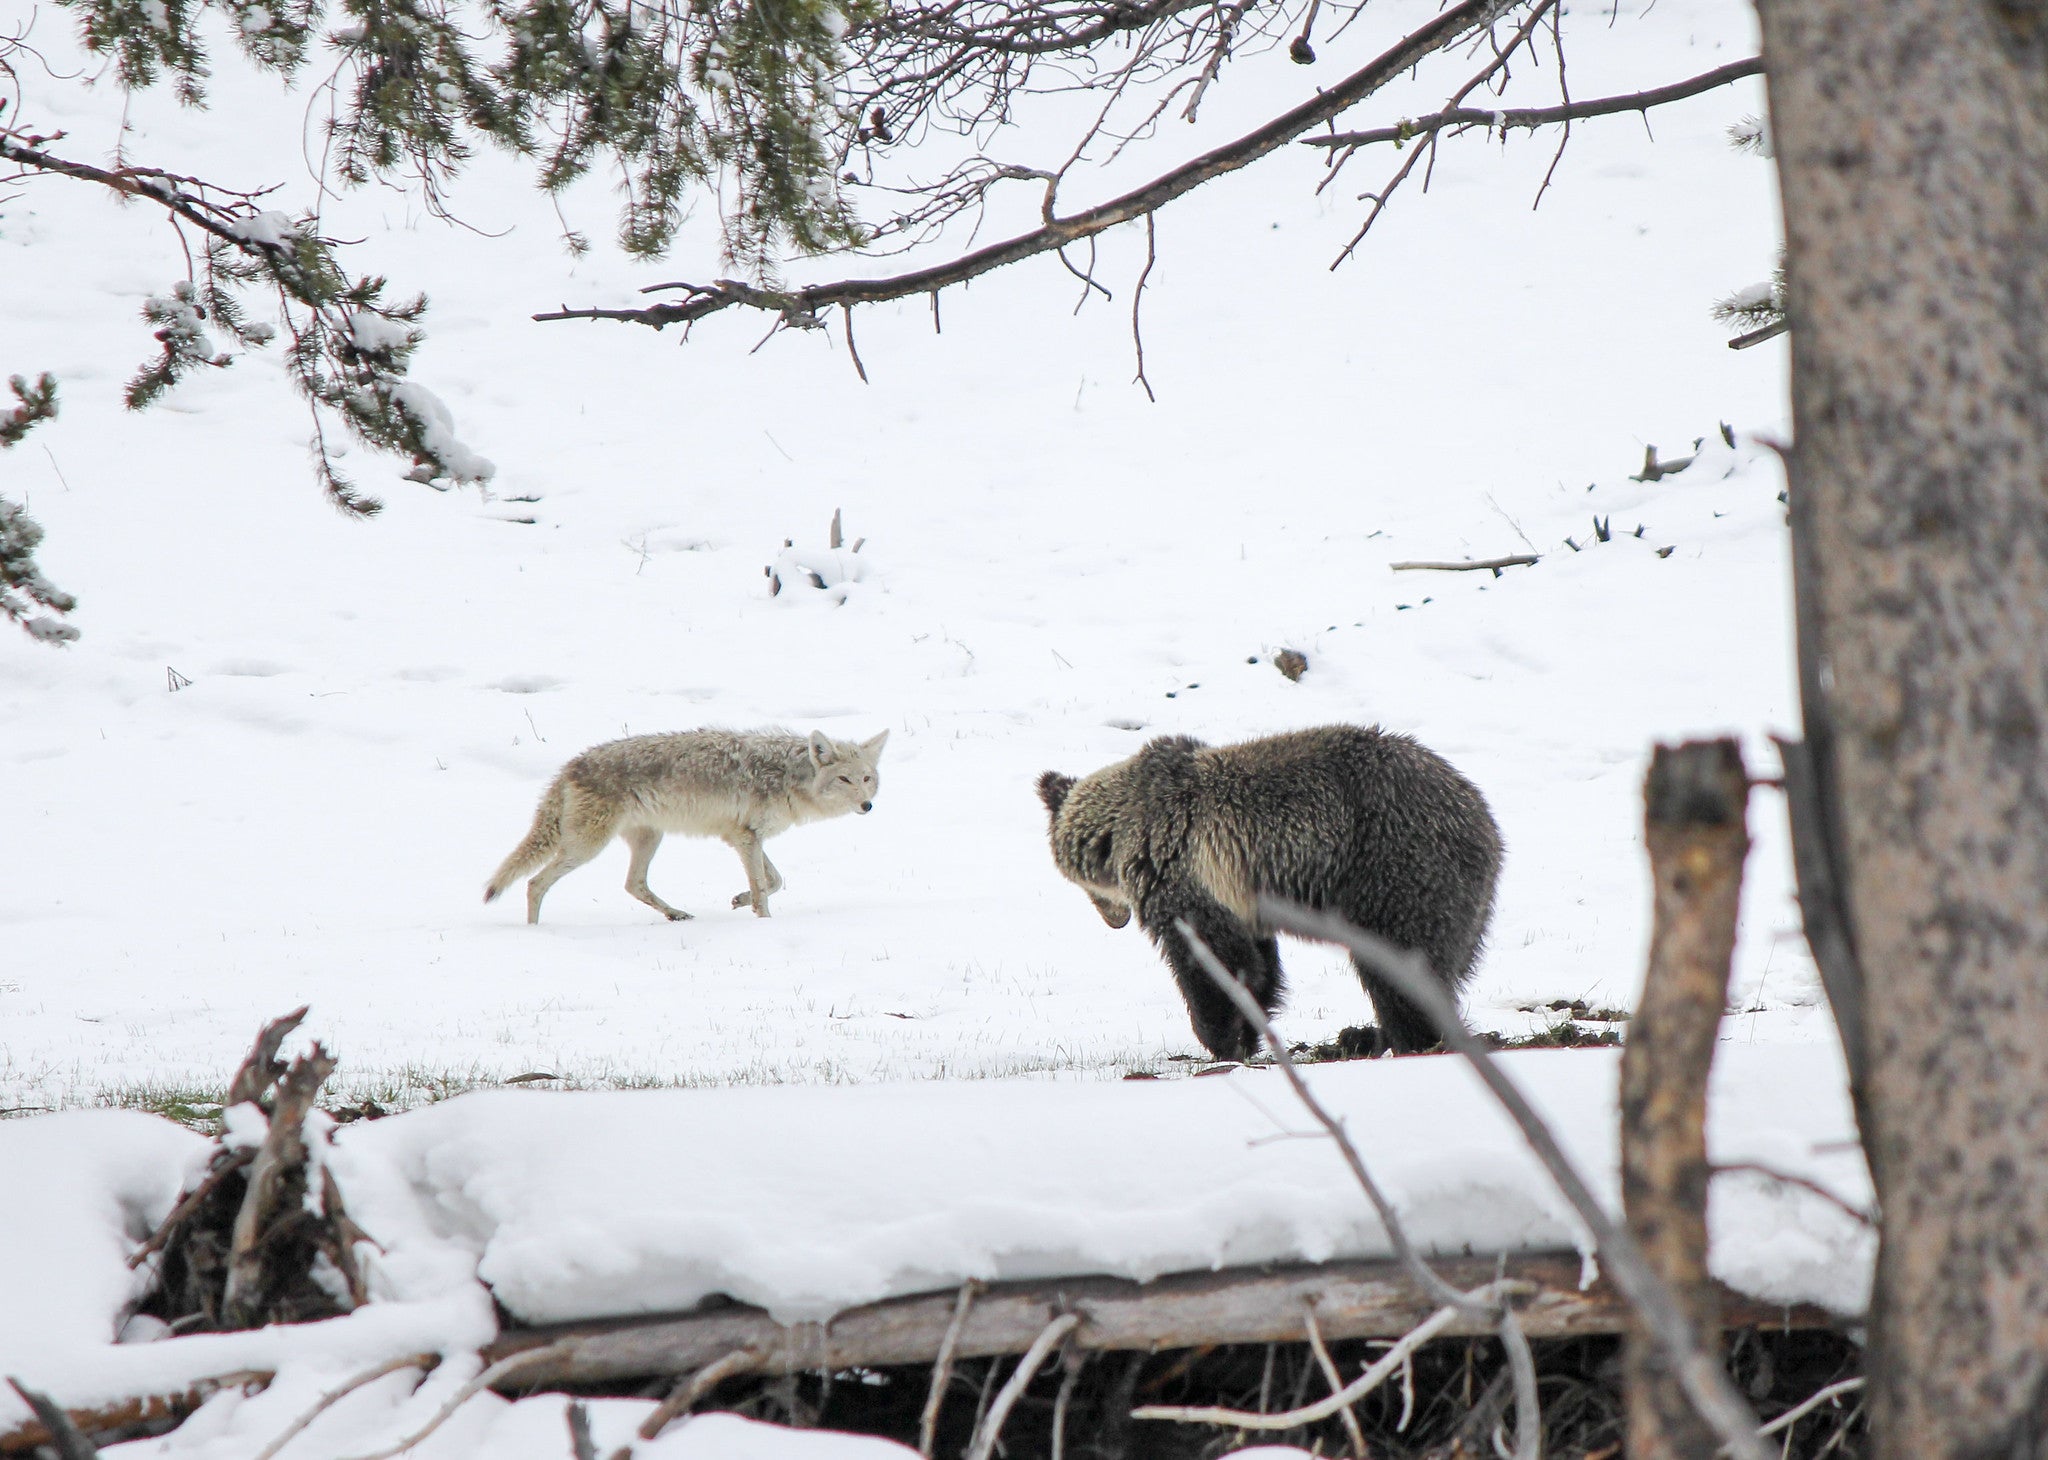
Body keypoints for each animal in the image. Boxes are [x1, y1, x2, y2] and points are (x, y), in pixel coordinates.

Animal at [485, 728, 889, 924]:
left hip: (649, 838)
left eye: (867, 778)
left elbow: (774, 881)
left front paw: (740, 900)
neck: (788, 777)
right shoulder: (746, 838)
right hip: (586, 847)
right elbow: (764, 887)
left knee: (633, 884)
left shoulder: (744, 838)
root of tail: (570, 765)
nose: (867, 806)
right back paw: (536, 933)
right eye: (844, 780)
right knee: (535, 883)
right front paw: (763, 922)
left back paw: (675, 914)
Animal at [1036, 724, 1502, 1060]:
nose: (1114, 920)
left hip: (1394, 865)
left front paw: (1222, 1038)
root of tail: (1483, 819)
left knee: (1400, 962)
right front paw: (1249, 1029)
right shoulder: (1238, 896)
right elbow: (1256, 963)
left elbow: (1209, 960)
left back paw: (1412, 1038)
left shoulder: (1183, 874)